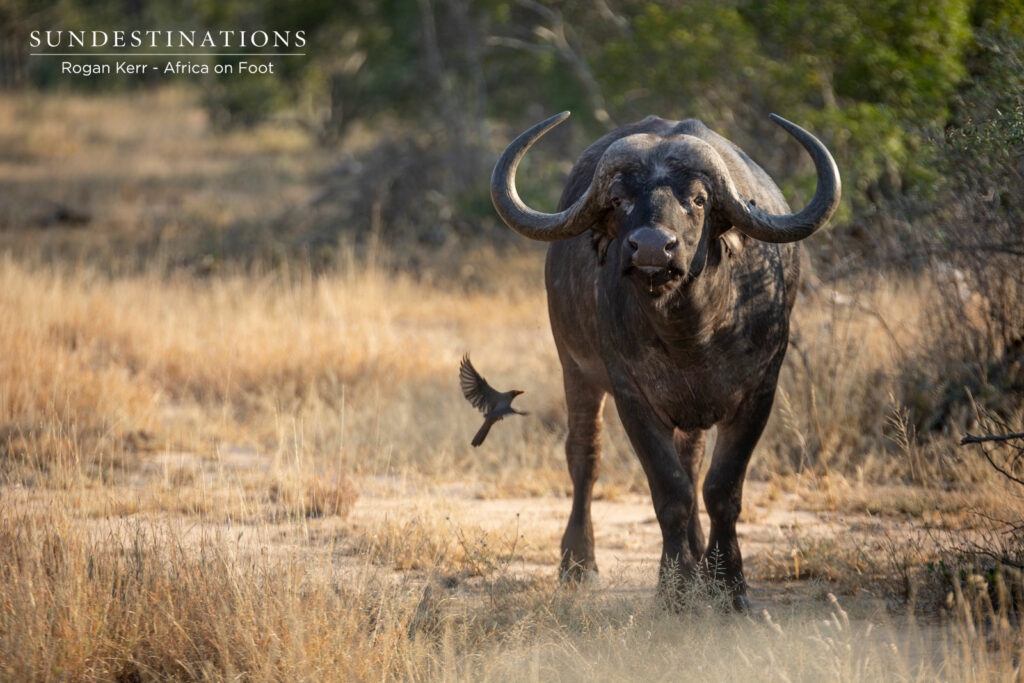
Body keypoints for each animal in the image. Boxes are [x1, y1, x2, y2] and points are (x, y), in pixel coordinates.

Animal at [490, 112, 840, 609]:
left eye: (698, 199)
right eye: (618, 199)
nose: (654, 248)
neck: (690, 333)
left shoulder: (759, 391)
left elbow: (720, 488)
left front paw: (727, 585)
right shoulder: (632, 396)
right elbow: (670, 490)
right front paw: (674, 587)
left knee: (691, 462)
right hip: (574, 368)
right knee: (585, 457)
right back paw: (578, 563)